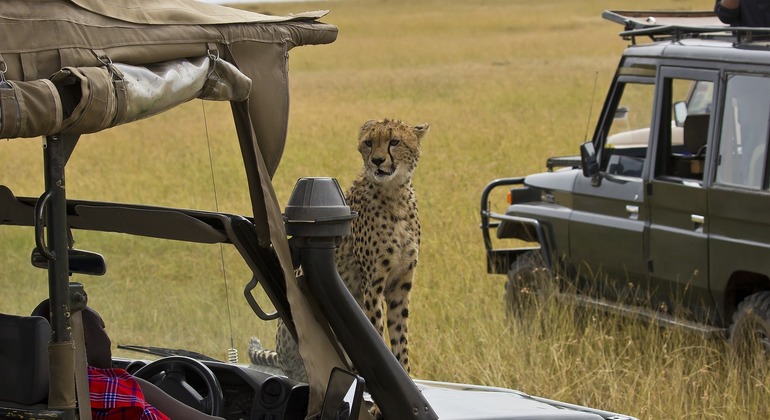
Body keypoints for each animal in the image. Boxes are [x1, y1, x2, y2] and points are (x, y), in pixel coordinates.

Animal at [272, 117, 426, 380]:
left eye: (394, 141)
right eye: (368, 143)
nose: (377, 161)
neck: (395, 195)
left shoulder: (400, 286)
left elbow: (400, 338)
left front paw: (405, 375)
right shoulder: (372, 284)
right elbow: (376, 332)